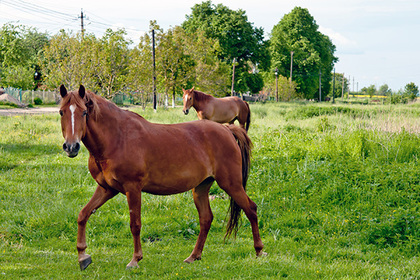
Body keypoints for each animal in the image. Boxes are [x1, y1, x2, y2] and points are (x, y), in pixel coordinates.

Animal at [57, 85, 264, 270]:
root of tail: (227, 130)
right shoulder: (107, 189)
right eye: (61, 112)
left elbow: (135, 224)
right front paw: (83, 256)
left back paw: (259, 250)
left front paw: (135, 260)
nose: (71, 147)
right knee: (206, 219)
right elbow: (83, 215)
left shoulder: (132, 189)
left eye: (84, 113)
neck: (116, 138)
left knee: (251, 209)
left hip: (231, 184)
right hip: (201, 188)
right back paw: (194, 256)